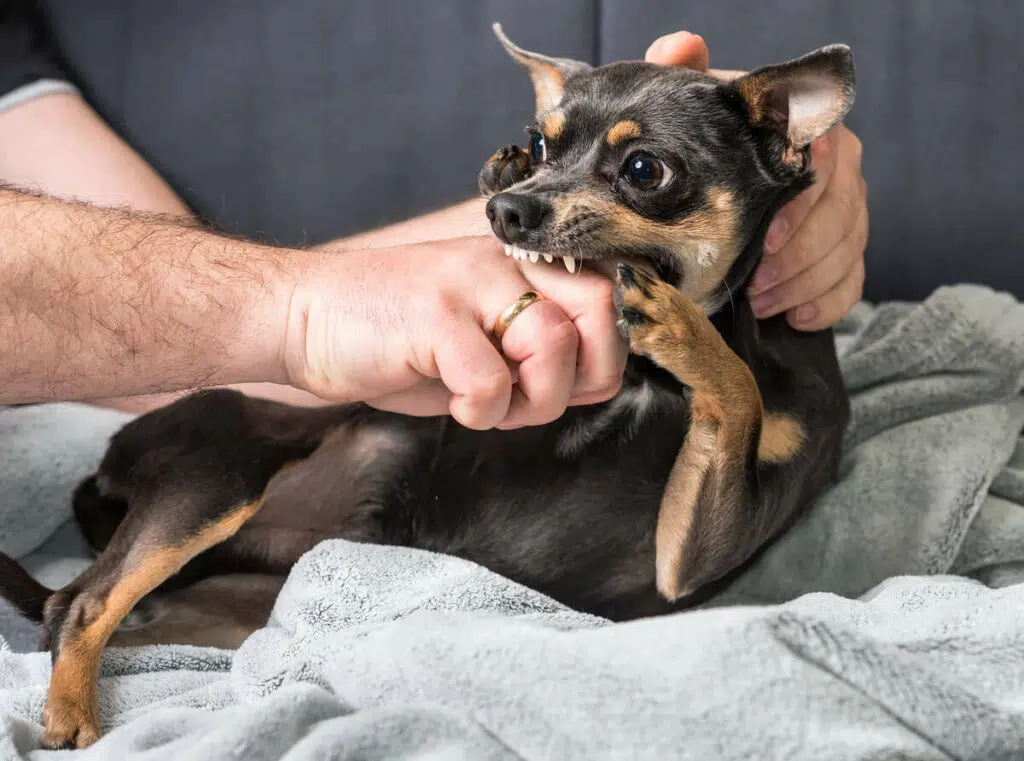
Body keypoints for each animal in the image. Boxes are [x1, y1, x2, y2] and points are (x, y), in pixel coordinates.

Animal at [0, 25, 847, 749]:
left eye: (646, 170)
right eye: (542, 142)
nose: (509, 205)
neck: (650, 380)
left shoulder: (687, 558)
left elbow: (737, 390)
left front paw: (677, 323)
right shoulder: (683, 552)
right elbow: (736, 387)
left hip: (240, 601)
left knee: (95, 612)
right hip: (223, 472)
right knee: (81, 601)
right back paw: (72, 714)